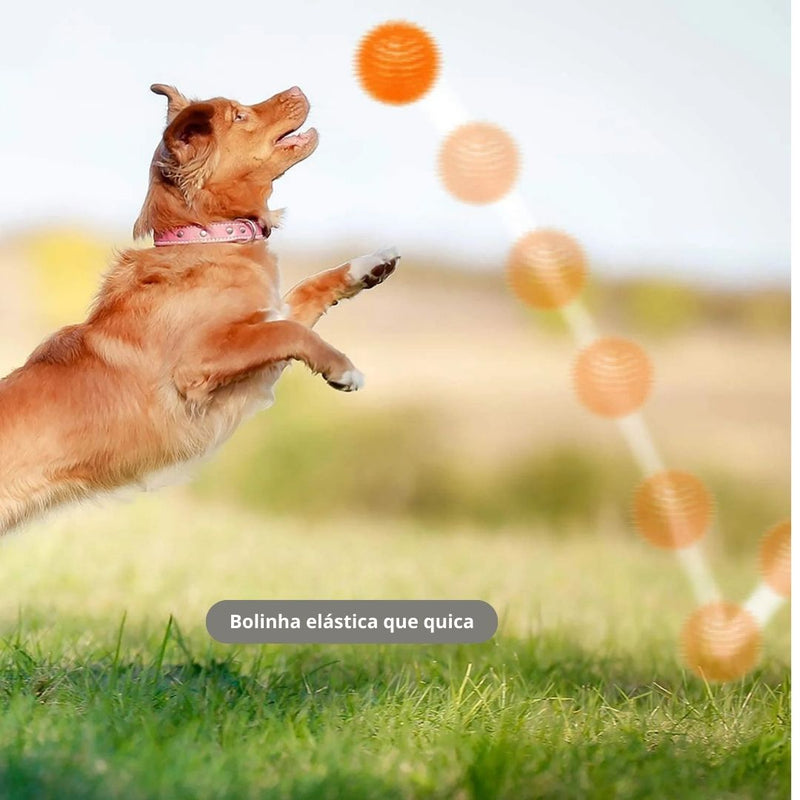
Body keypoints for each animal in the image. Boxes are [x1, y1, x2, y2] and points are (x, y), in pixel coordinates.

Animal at [0, 84, 400, 536]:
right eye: (239, 116)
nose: (298, 89)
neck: (208, 238)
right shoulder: (199, 364)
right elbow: (293, 332)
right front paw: (342, 369)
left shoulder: (262, 324)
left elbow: (307, 292)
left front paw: (370, 266)